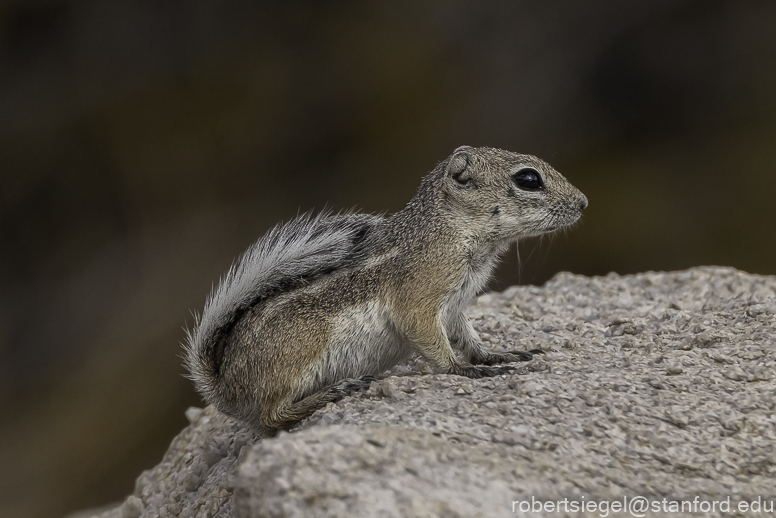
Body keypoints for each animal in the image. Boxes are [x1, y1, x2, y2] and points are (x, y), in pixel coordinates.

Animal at [186, 146, 588, 434]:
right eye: (528, 179)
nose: (584, 203)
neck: (448, 229)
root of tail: (224, 388)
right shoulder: (420, 301)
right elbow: (433, 342)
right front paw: (463, 371)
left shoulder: (455, 307)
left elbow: (469, 338)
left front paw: (495, 356)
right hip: (300, 351)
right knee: (272, 416)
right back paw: (335, 390)